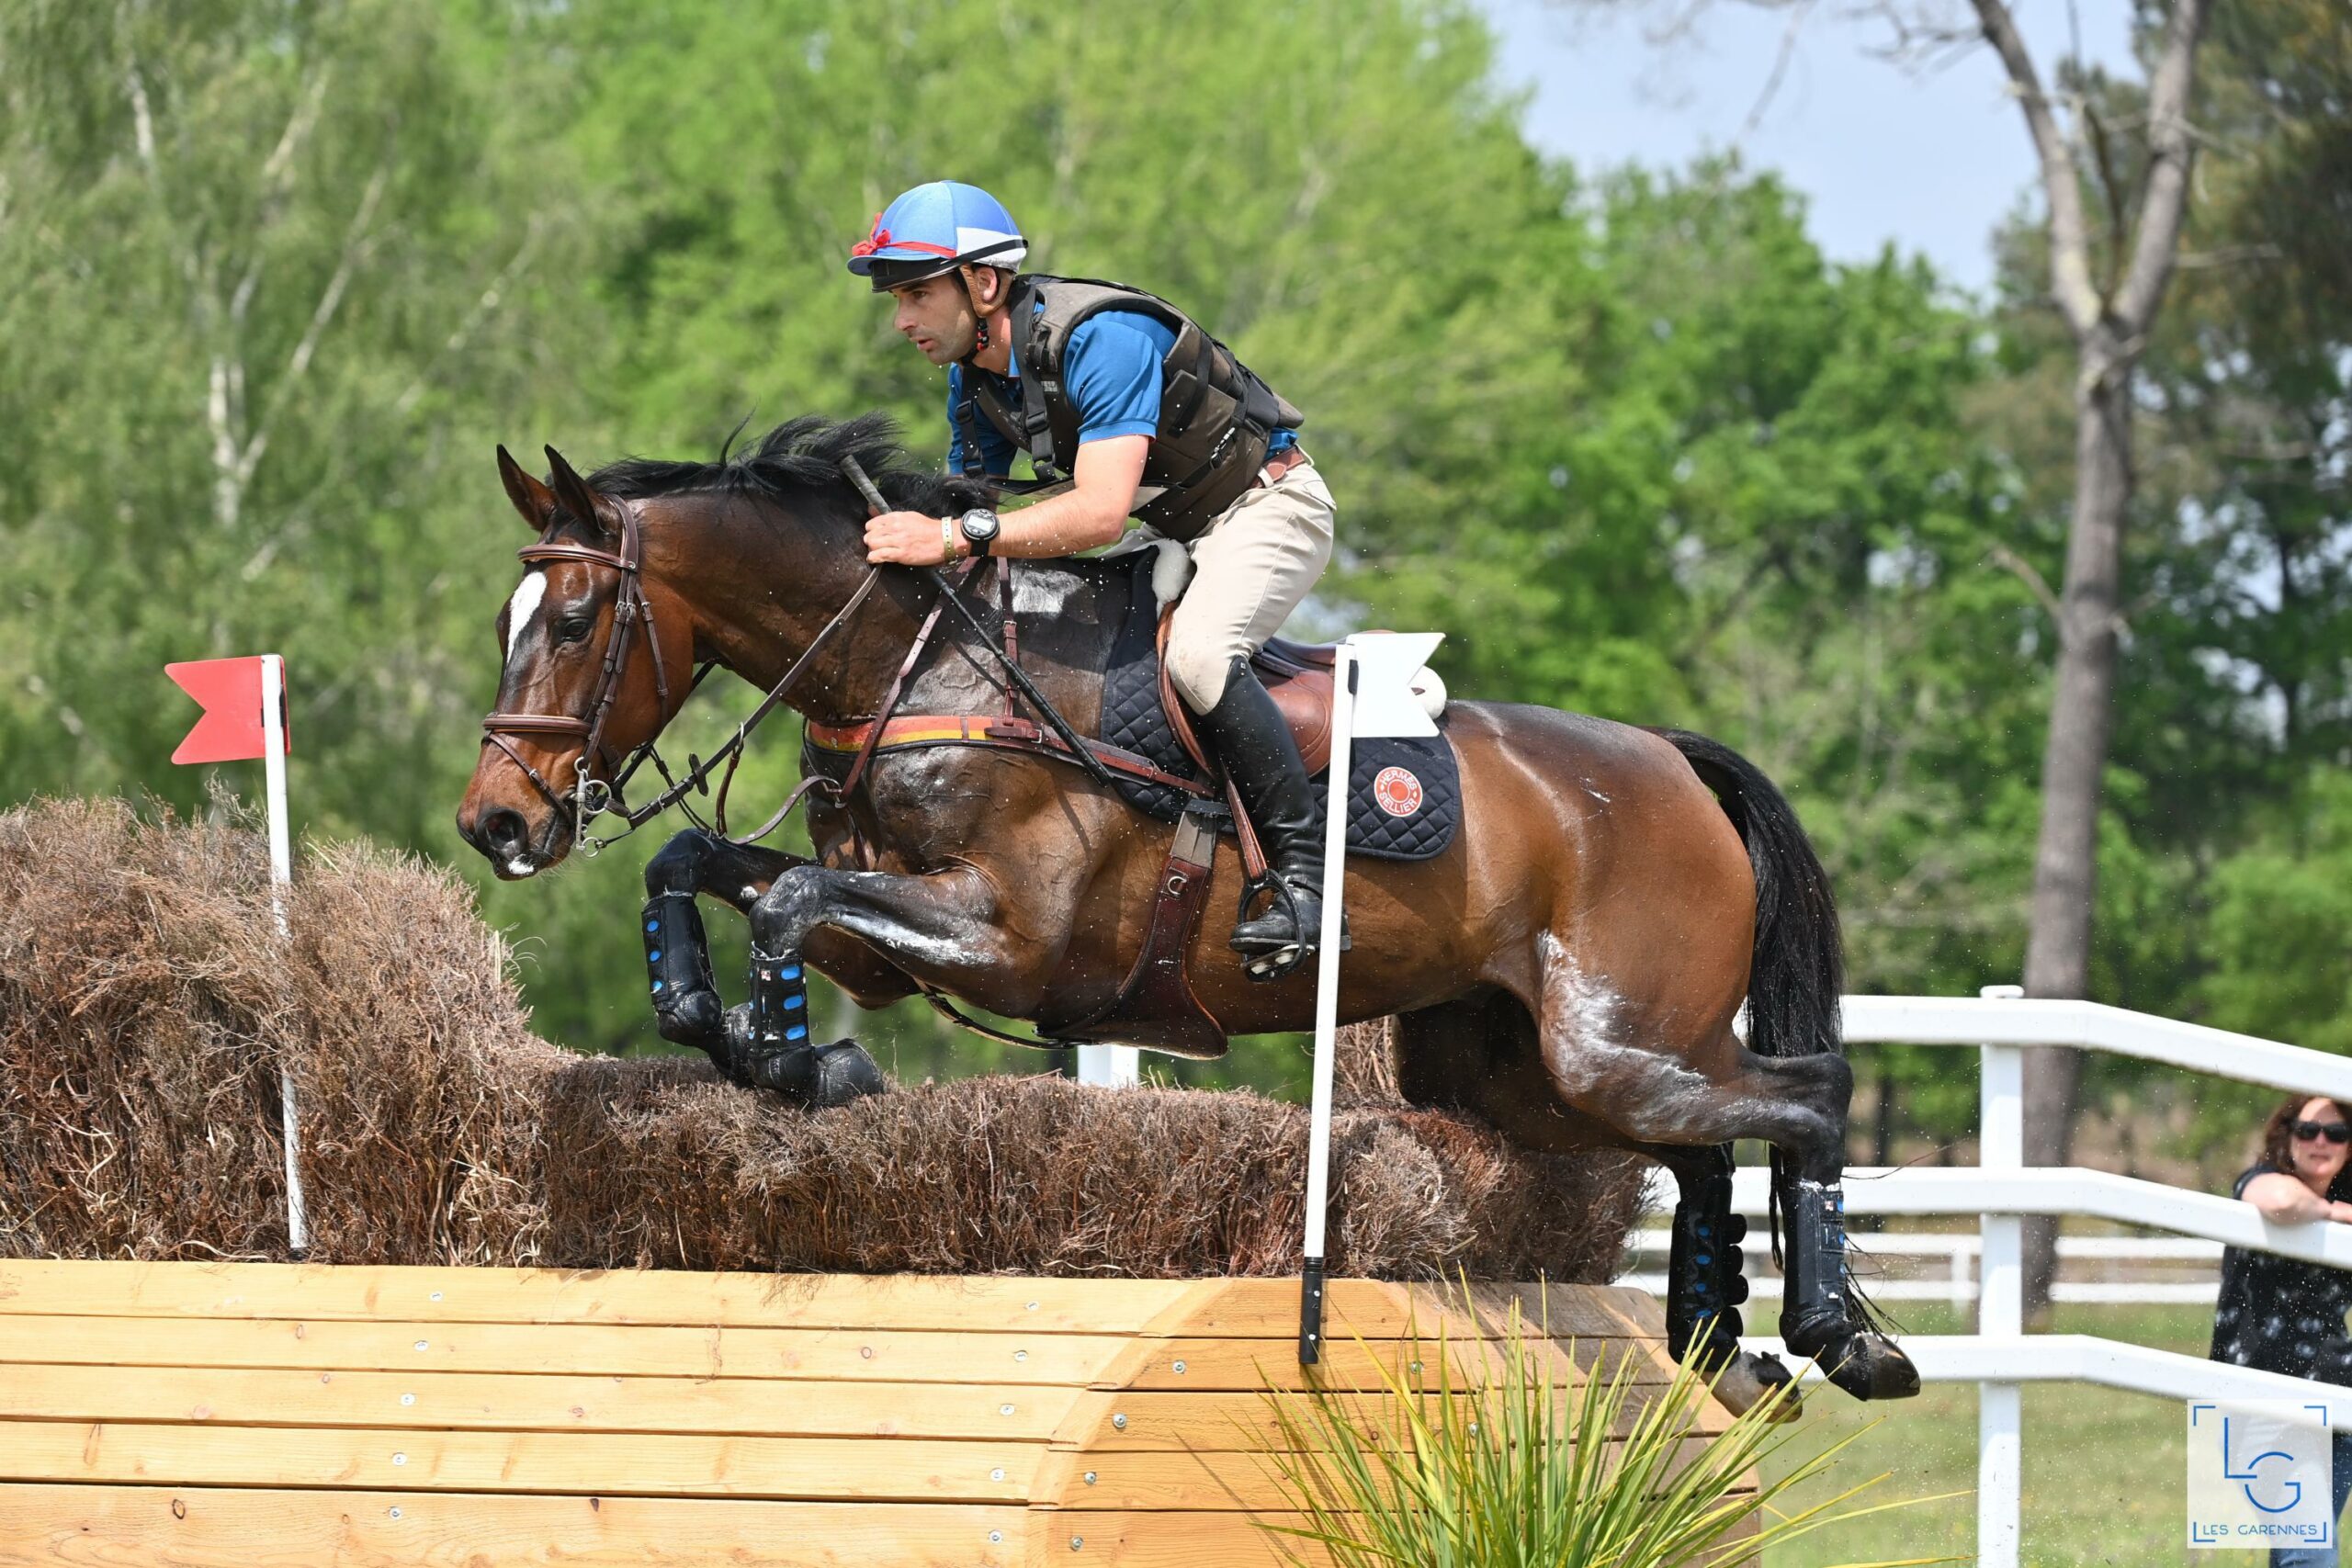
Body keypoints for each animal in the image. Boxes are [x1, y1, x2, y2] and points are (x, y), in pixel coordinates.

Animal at [454, 415, 1909, 1410]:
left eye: (574, 620)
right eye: (507, 616)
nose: (496, 823)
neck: (917, 660)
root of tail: (1668, 757)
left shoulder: (1004, 939)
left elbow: (786, 903)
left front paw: (801, 1064)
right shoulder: (891, 941)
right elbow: (692, 869)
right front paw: (762, 1045)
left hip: (1609, 1041)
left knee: (1808, 1095)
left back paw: (1842, 1338)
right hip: (1515, 1073)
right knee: (1703, 1144)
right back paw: (1720, 1342)